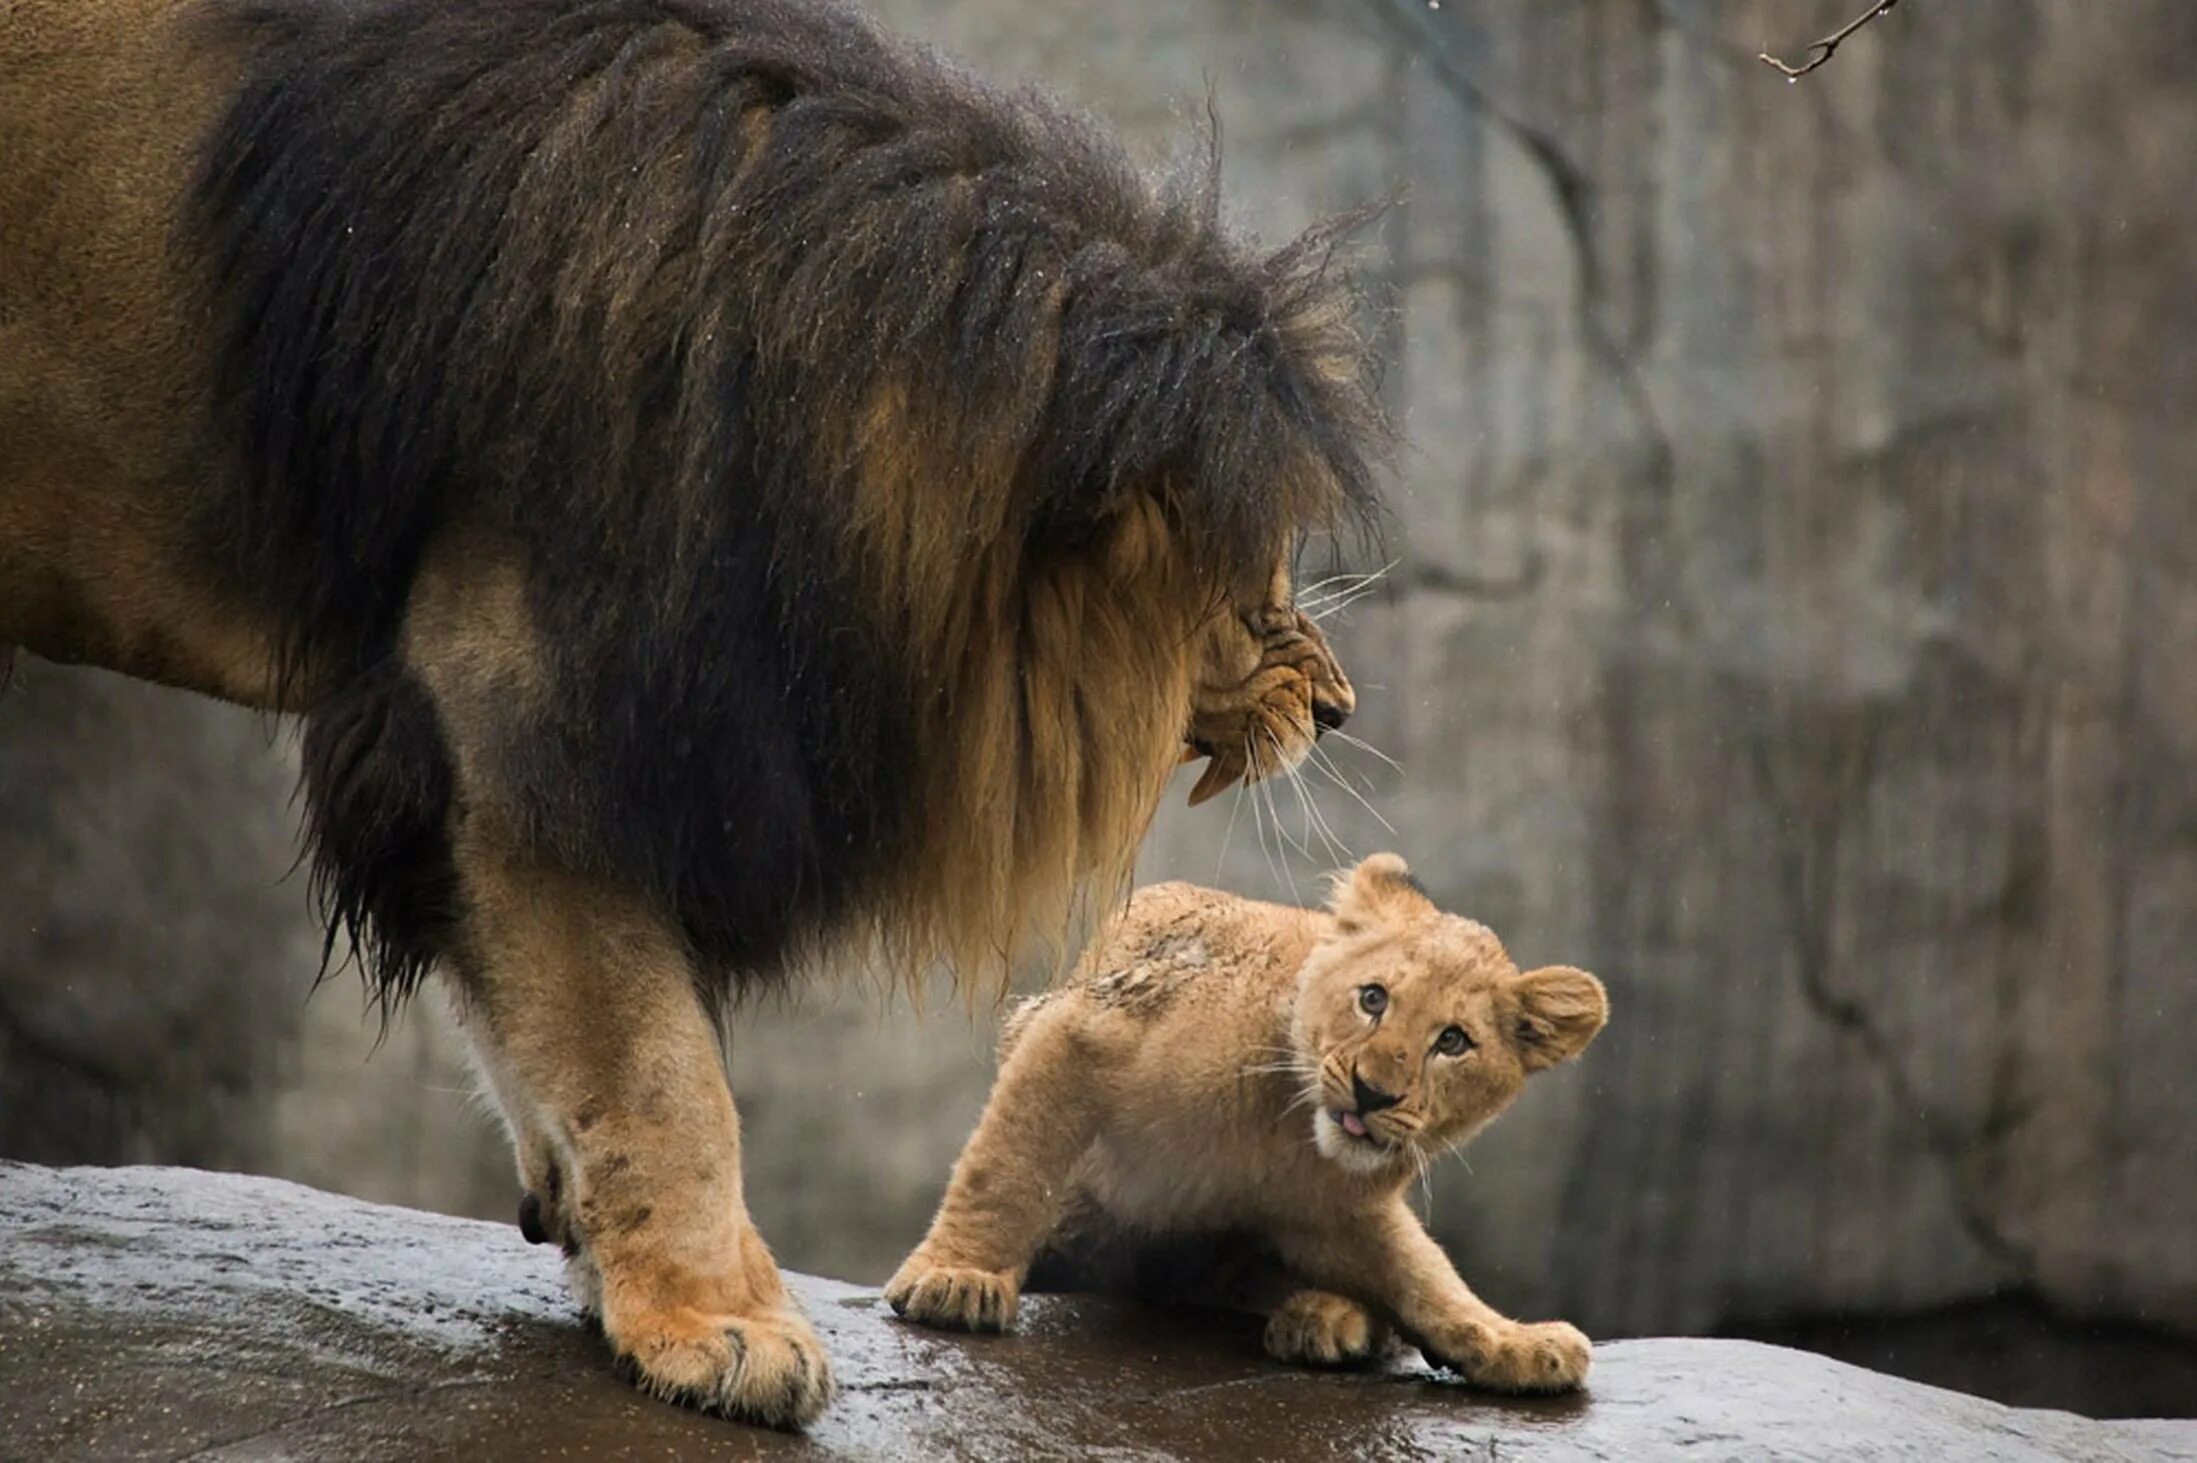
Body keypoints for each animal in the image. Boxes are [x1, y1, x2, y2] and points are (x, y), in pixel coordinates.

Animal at [0, 0, 1370, 1423]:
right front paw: (722, 1322)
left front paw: (589, 1235)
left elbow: (549, 1036)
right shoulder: (515, 738)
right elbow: (657, 1064)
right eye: (1254, 580)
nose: (1336, 708)